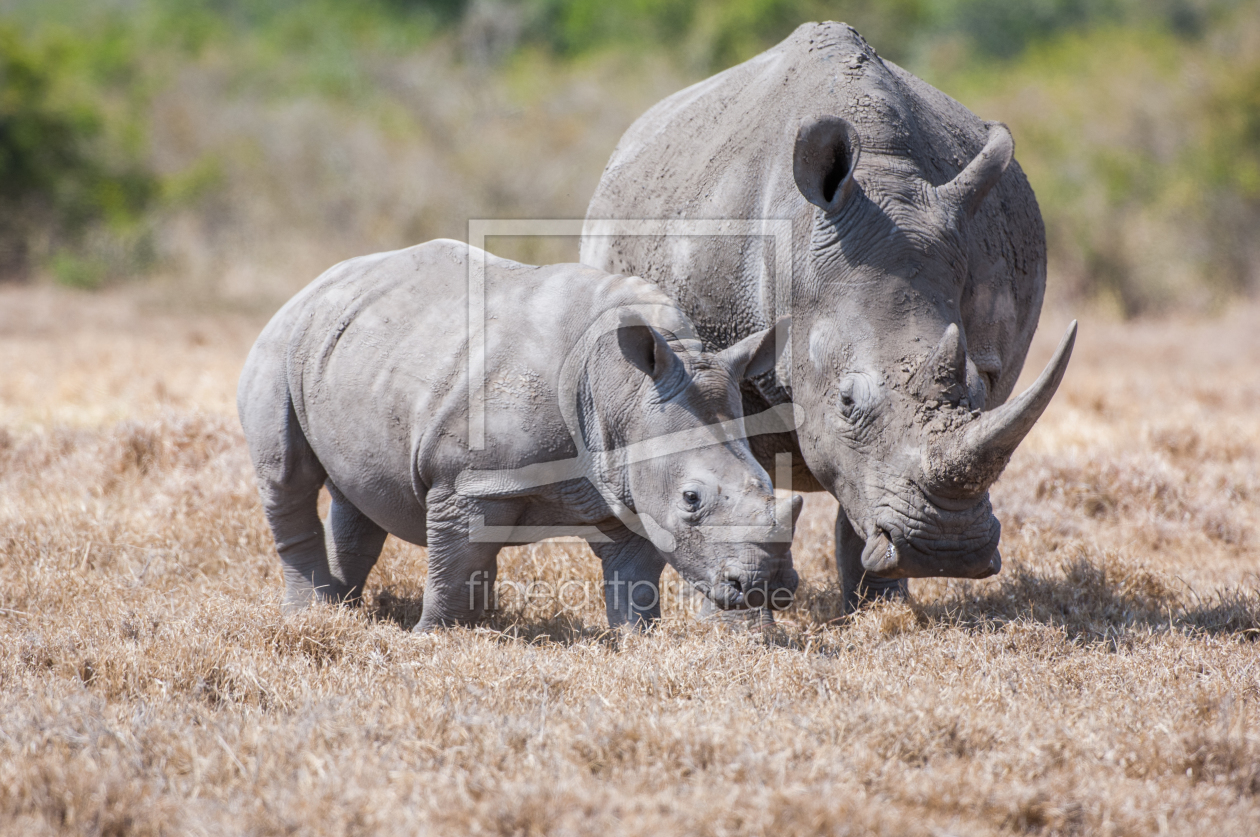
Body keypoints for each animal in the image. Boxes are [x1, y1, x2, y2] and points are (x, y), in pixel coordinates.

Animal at [240, 238, 801, 630]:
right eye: (691, 498)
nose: (764, 587)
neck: (624, 388)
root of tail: (314, 285)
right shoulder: (466, 479)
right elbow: (454, 564)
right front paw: (431, 637)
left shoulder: (624, 481)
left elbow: (635, 579)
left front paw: (635, 640)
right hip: (278, 341)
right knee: (288, 474)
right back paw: (309, 613)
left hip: (354, 346)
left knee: (357, 491)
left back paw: (343, 608)